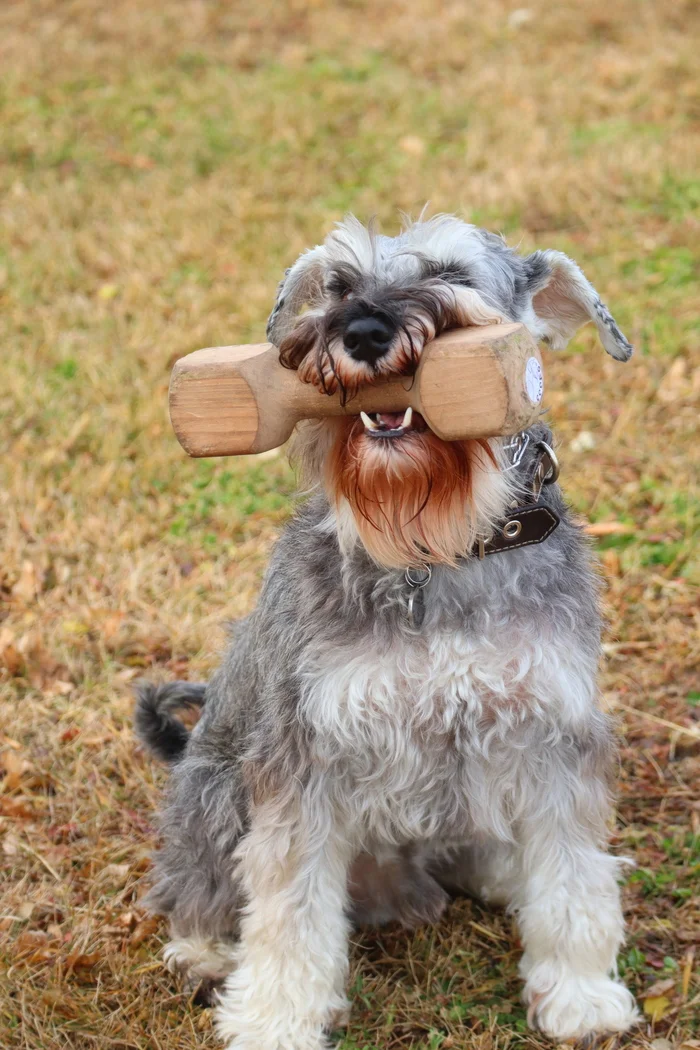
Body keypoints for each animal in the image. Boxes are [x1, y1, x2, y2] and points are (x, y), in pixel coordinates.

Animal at [135, 215, 642, 1050]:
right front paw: (274, 1019)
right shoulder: (305, 757)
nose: (364, 330)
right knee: (196, 883)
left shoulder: (552, 735)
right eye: (338, 284)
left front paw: (580, 996)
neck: (440, 547)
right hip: (215, 788)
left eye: (451, 273)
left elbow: (571, 877)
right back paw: (204, 951)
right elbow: (288, 909)